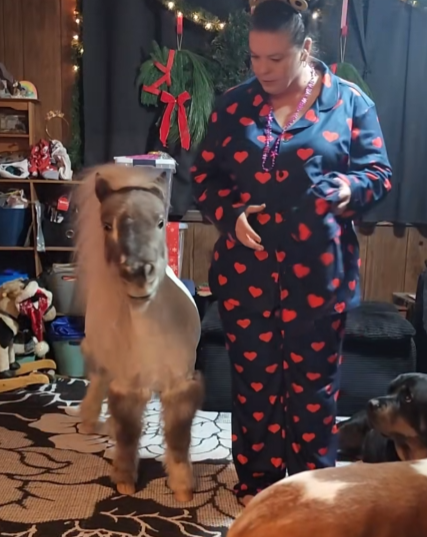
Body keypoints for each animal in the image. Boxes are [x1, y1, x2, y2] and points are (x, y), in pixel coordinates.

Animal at [74, 163, 203, 502]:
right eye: (107, 225)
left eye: (160, 221)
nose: (137, 276)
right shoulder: (128, 384)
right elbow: (129, 433)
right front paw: (124, 481)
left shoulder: (178, 383)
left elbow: (178, 436)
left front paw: (182, 488)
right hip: (102, 361)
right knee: (98, 386)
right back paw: (91, 423)